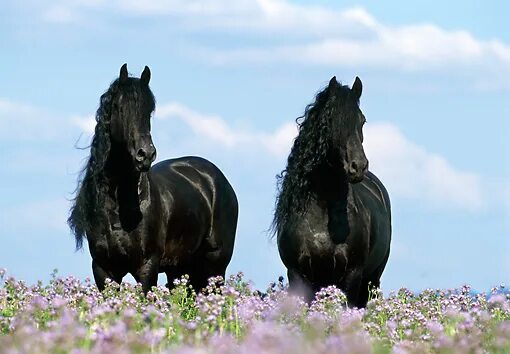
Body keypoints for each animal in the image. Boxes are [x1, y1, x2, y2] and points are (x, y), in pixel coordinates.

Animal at [67, 65, 239, 294]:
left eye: (149, 111)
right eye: (119, 108)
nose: (146, 154)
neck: (120, 209)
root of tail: (216, 179)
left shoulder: (147, 267)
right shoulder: (104, 269)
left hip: (215, 265)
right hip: (180, 268)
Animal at [274, 76, 390, 306]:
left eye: (362, 120)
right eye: (332, 122)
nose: (358, 166)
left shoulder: (352, 275)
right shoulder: (298, 274)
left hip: (371, 279)